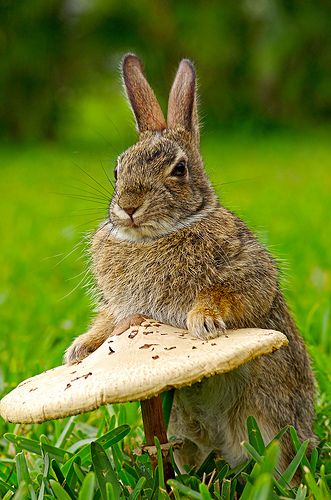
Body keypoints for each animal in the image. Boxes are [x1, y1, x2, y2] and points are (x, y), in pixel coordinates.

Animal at [64, 54, 316, 472]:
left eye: (179, 170)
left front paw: (204, 323)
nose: (128, 206)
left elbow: (230, 294)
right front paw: (79, 350)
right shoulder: (118, 306)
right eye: (117, 170)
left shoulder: (247, 270)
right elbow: (106, 322)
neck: (154, 236)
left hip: (265, 418)